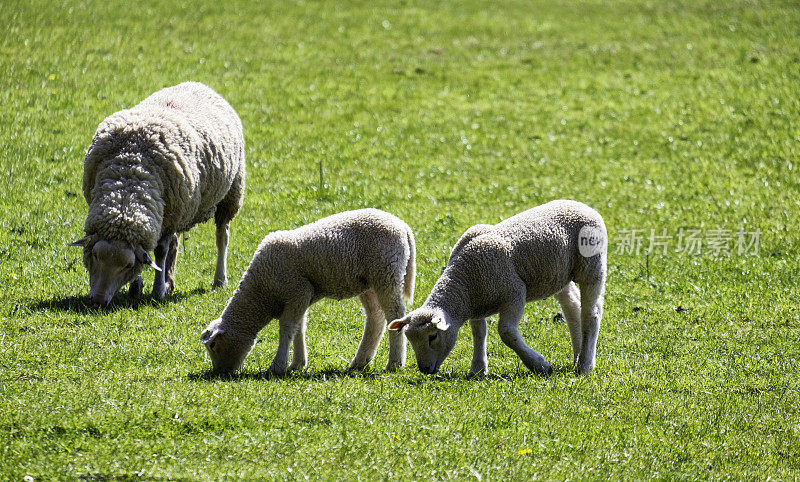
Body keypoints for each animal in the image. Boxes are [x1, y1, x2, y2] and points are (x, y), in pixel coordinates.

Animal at [70, 79, 245, 306]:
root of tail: (198, 84)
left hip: (230, 193)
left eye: (127, 265)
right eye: (95, 256)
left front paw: (158, 290)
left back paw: (219, 280)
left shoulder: (169, 218)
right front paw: (137, 287)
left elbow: (160, 252)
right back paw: (170, 280)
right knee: (176, 243)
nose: (98, 301)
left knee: (222, 236)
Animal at [202, 209, 418, 374]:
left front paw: (277, 365)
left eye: (213, 345)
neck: (261, 291)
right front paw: (297, 364)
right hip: (368, 282)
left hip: (386, 273)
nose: (219, 373)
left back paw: (394, 363)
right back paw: (360, 361)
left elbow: (287, 327)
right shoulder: (301, 296)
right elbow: (299, 326)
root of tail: (402, 226)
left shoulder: (297, 290)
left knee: (394, 315)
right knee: (376, 317)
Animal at [388, 199, 608, 376]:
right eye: (409, 338)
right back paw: (578, 356)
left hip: (592, 264)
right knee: (572, 307)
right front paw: (478, 369)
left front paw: (539, 365)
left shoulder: (515, 294)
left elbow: (507, 333)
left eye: (433, 336)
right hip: (558, 276)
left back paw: (585, 365)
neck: (466, 282)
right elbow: (479, 333)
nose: (424, 369)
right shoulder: (477, 303)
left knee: (592, 314)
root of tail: (584, 206)